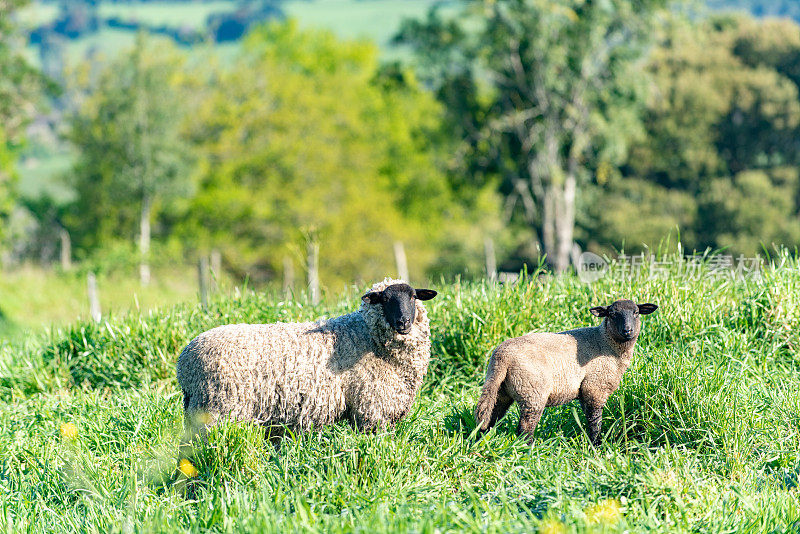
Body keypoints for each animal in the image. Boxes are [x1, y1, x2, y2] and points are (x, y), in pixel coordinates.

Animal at [176, 278, 438, 446]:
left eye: (413, 297)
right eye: (384, 299)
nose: (403, 322)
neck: (366, 334)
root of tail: (184, 362)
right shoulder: (372, 407)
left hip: (197, 408)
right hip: (216, 409)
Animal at [476, 302, 656, 448]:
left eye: (636, 313)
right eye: (612, 314)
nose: (627, 330)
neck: (605, 342)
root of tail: (502, 357)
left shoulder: (585, 392)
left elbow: (589, 418)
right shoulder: (595, 388)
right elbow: (595, 421)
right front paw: (597, 445)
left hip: (500, 390)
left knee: (488, 418)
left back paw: (482, 441)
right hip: (532, 393)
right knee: (524, 429)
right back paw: (530, 450)